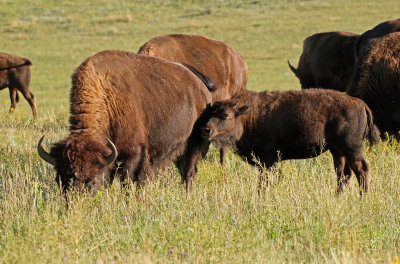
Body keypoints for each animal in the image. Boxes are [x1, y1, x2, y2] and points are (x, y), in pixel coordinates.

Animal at [36, 50, 214, 193]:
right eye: (59, 180)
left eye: (92, 181)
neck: (107, 96)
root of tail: (200, 85)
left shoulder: (134, 153)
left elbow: (130, 181)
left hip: (195, 144)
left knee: (189, 172)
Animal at [202, 88, 380, 194]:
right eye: (210, 112)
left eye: (225, 115)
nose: (206, 129)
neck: (248, 115)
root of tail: (361, 104)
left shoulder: (267, 161)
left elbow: (264, 182)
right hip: (337, 150)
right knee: (343, 174)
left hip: (351, 149)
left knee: (361, 170)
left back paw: (362, 197)